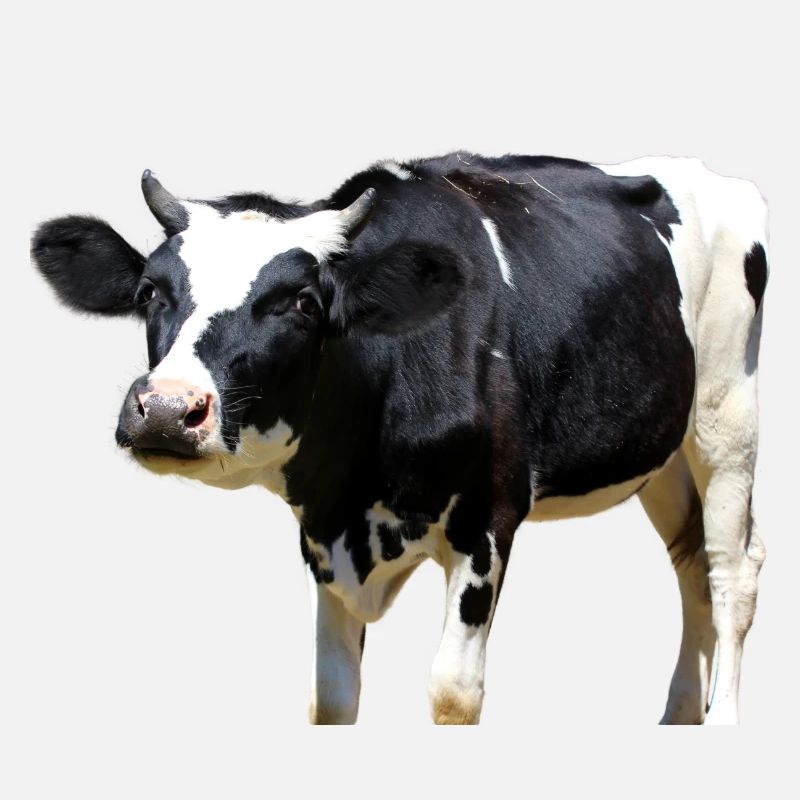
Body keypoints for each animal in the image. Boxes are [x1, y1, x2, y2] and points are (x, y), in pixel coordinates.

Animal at [31, 153, 768, 725]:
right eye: (149, 292)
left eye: (302, 303)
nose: (165, 408)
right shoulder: (322, 532)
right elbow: (332, 696)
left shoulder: (488, 518)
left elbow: (452, 692)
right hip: (662, 455)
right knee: (691, 564)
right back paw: (678, 714)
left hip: (726, 416)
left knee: (731, 569)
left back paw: (721, 717)